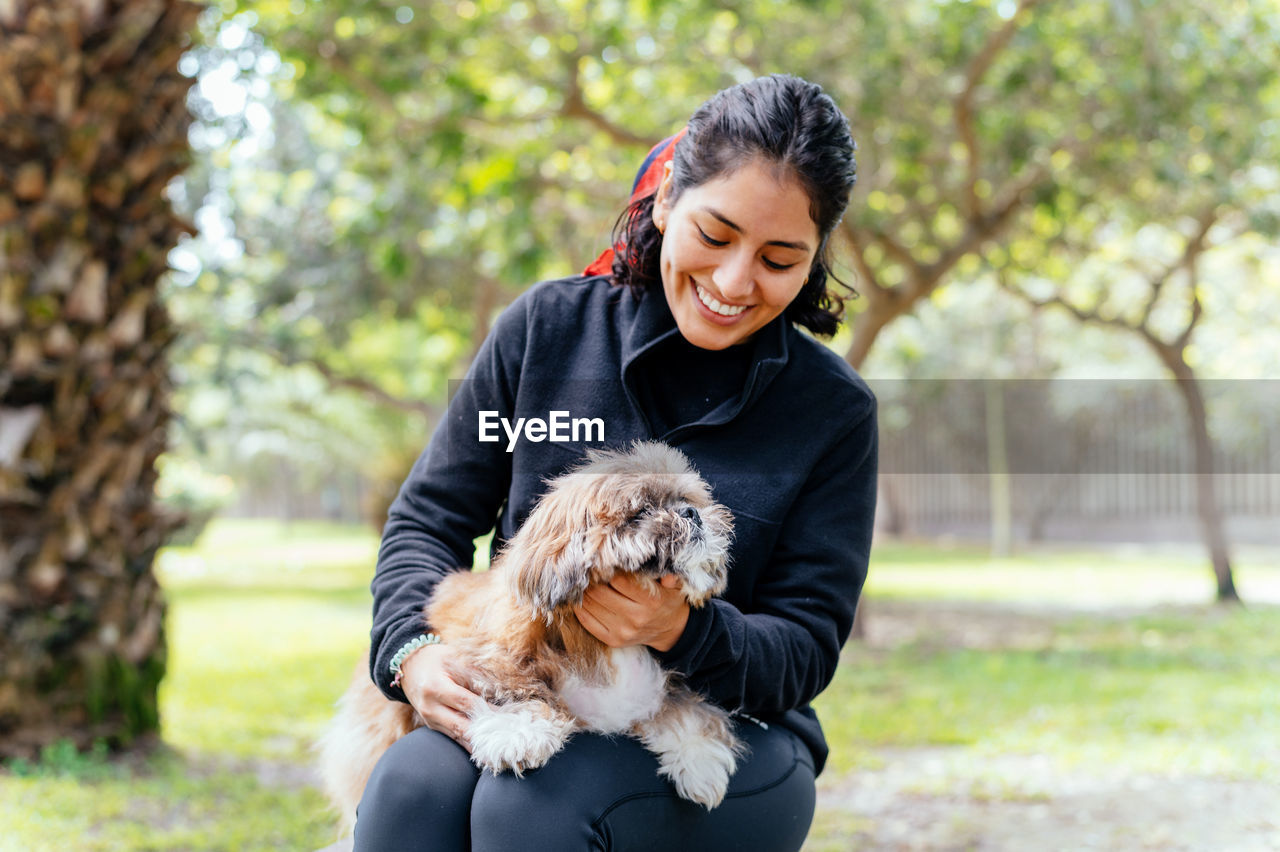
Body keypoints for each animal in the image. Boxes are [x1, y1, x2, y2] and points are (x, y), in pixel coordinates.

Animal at [316, 440, 747, 823]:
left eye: (687, 500)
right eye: (642, 510)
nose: (691, 513)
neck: (604, 647)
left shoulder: (660, 686)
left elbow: (685, 710)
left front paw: (699, 758)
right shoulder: (487, 657)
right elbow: (515, 689)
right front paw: (517, 732)